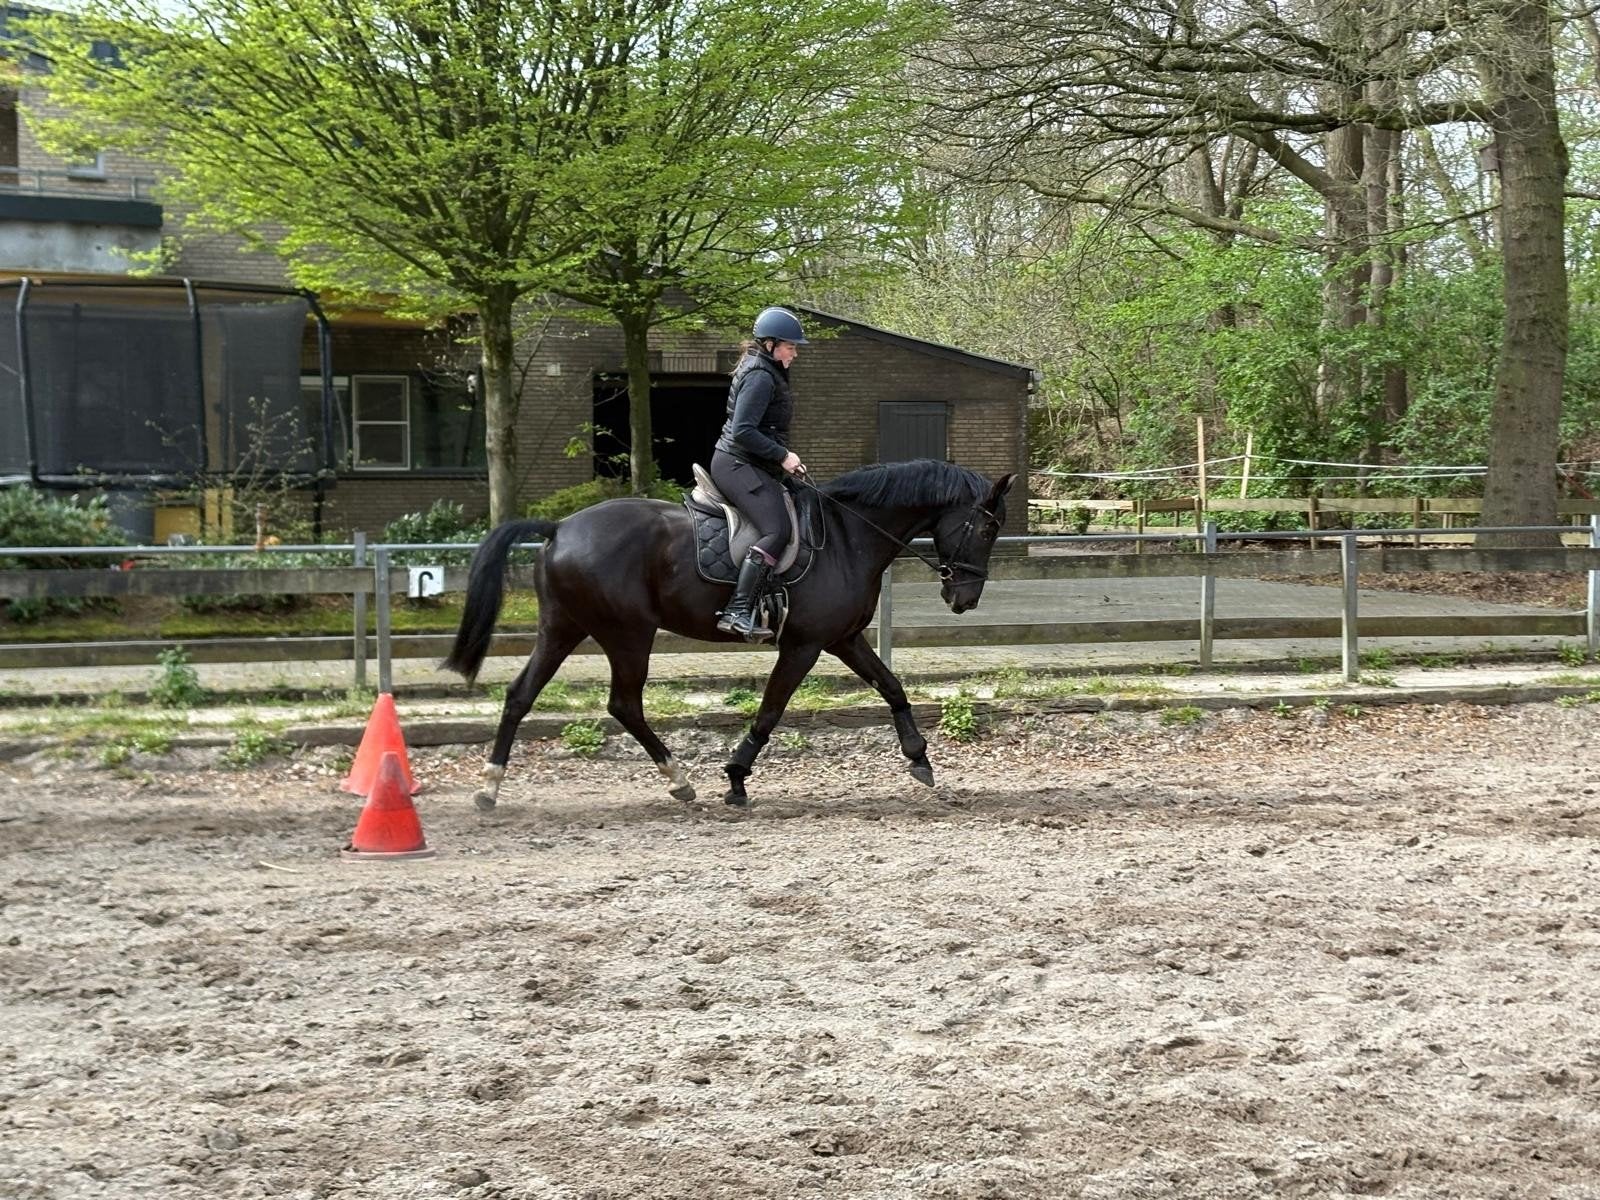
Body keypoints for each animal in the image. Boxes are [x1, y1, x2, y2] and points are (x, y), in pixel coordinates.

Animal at [443, 459, 1017, 809]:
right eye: (988, 527)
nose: (965, 599)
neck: (849, 536)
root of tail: (560, 527)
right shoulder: (804, 645)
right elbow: (770, 711)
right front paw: (737, 776)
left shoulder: (843, 639)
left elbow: (892, 687)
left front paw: (919, 758)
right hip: (628, 634)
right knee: (623, 704)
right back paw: (680, 779)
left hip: (563, 628)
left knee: (521, 695)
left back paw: (490, 788)